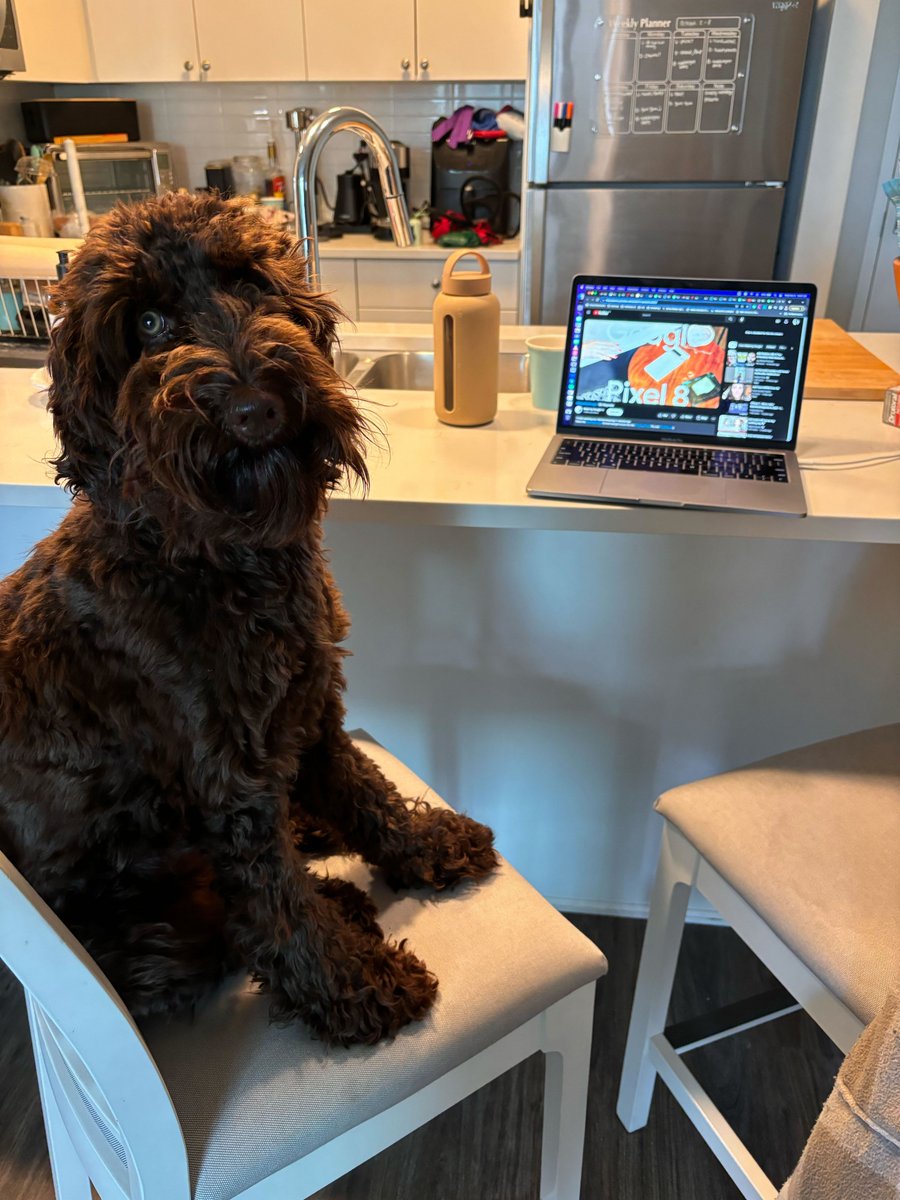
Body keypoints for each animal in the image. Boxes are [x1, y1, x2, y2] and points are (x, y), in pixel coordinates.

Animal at [0, 192, 496, 1046]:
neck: (212, 555)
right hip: (153, 933)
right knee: (226, 929)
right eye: (148, 323)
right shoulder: (229, 777)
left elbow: (363, 790)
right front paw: (353, 985)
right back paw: (342, 904)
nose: (253, 407)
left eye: (251, 283)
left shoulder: (312, 700)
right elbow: (275, 903)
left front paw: (425, 843)